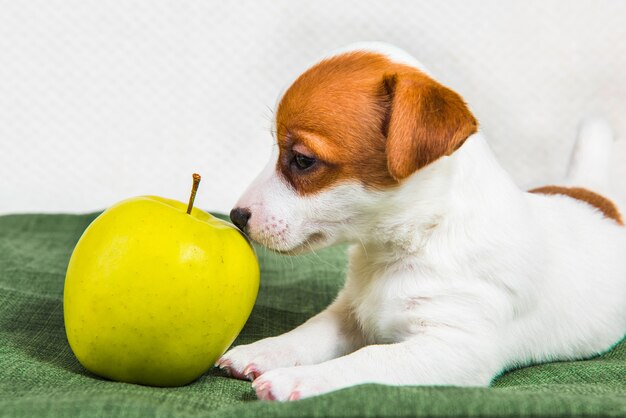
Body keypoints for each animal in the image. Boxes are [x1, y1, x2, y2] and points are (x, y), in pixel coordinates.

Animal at [216, 42, 624, 402]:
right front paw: (266, 350)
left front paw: (296, 379)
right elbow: (309, 332)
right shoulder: (349, 313)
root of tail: (593, 196)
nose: (236, 216)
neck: (416, 239)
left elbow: (368, 358)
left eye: (302, 160)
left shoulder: (454, 345)